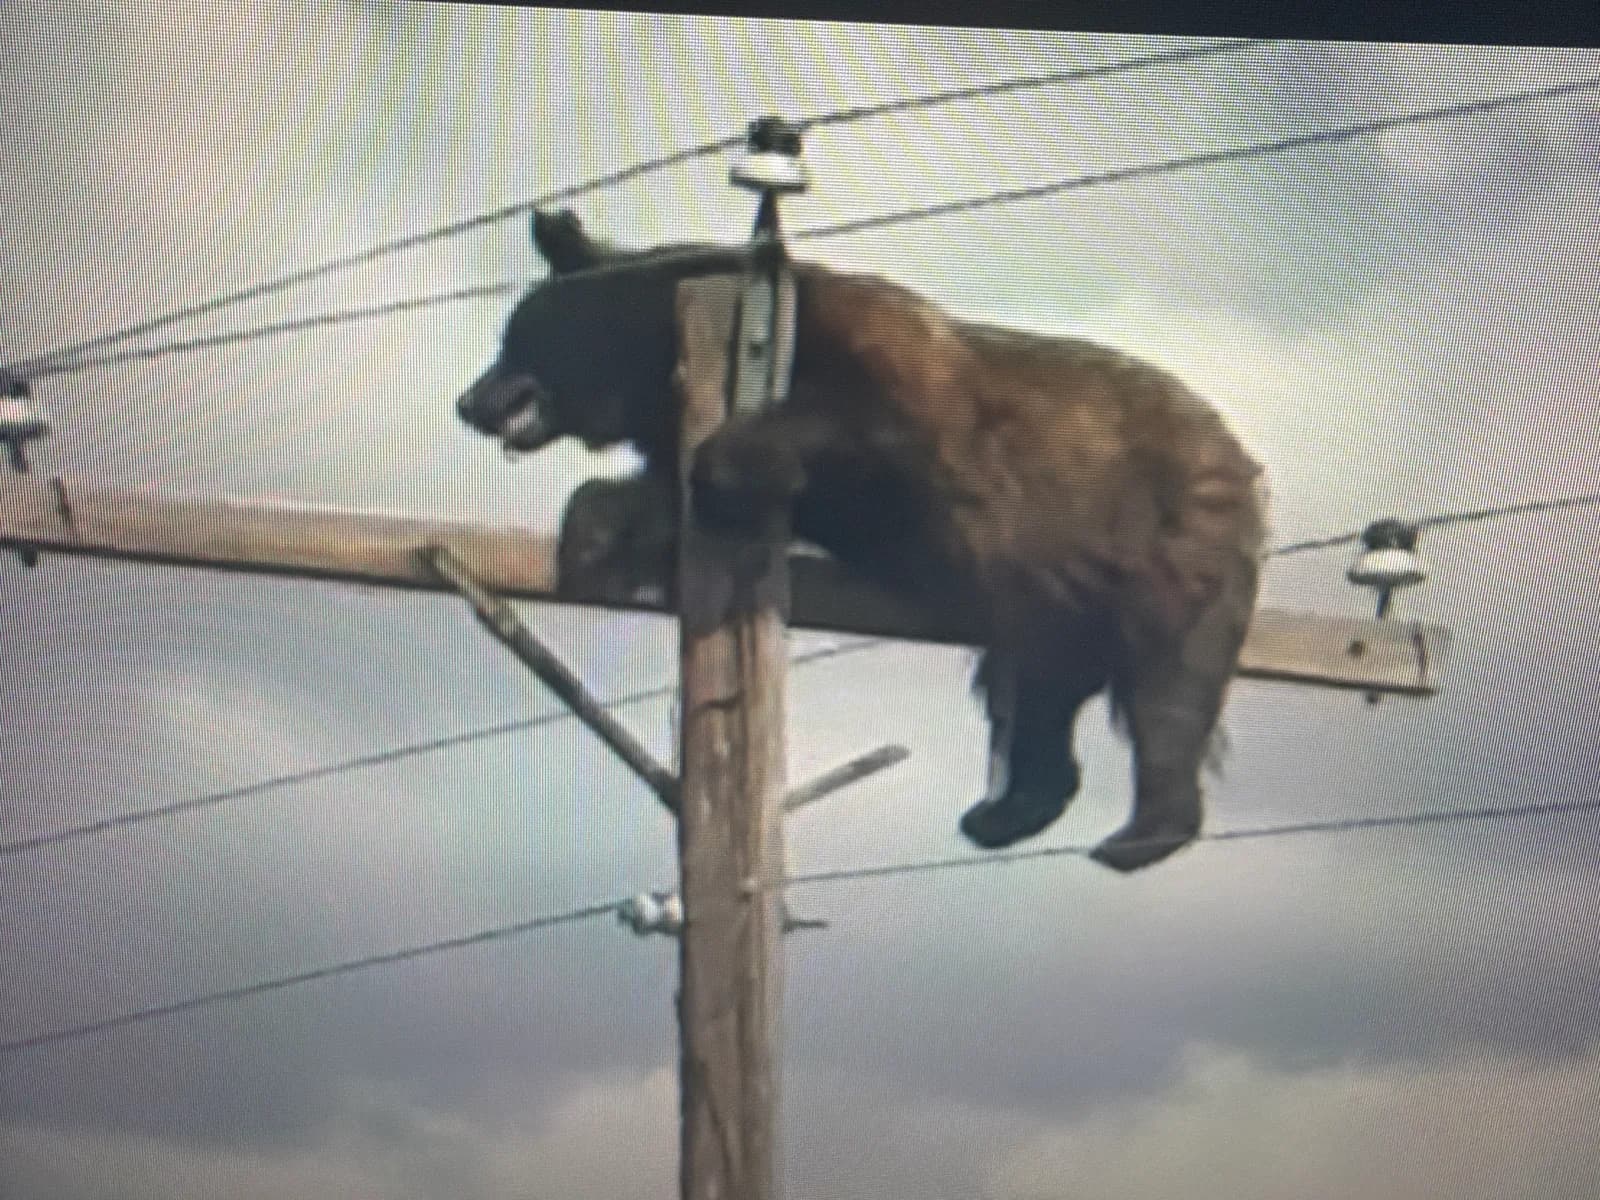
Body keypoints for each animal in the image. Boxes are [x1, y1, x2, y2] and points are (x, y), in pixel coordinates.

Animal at [456, 208, 1267, 872]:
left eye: (510, 337)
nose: (468, 401)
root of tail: (1241, 458)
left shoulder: (888, 380)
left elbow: (846, 426)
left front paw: (727, 473)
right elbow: (653, 496)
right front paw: (590, 534)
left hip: (1169, 542)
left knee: (1171, 685)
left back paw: (1141, 831)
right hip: (1055, 596)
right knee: (1038, 691)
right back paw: (1005, 811)